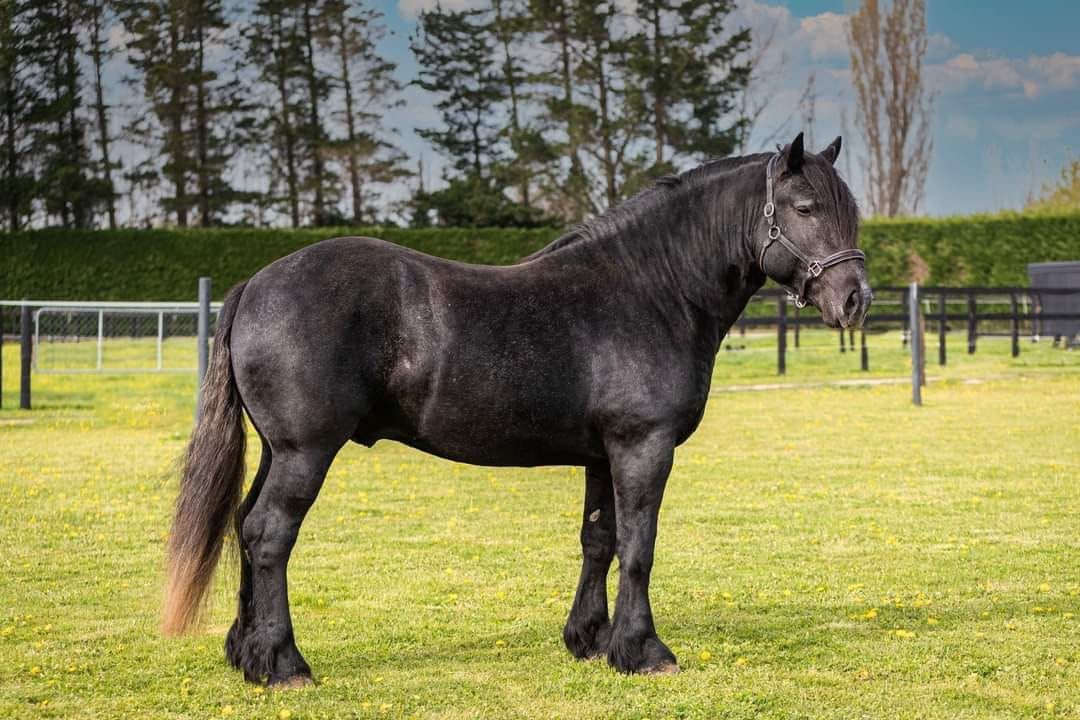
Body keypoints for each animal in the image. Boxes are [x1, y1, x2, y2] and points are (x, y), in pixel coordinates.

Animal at [162, 133, 868, 686]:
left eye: (850, 212)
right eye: (804, 208)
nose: (854, 300)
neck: (653, 290)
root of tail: (256, 283)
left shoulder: (602, 454)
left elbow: (599, 540)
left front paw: (591, 640)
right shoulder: (643, 446)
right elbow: (639, 544)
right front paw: (643, 652)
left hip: (277, 450)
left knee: (243, 526)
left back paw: (246, 654)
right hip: (306, 451)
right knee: (269, 534)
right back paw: (283, 664)